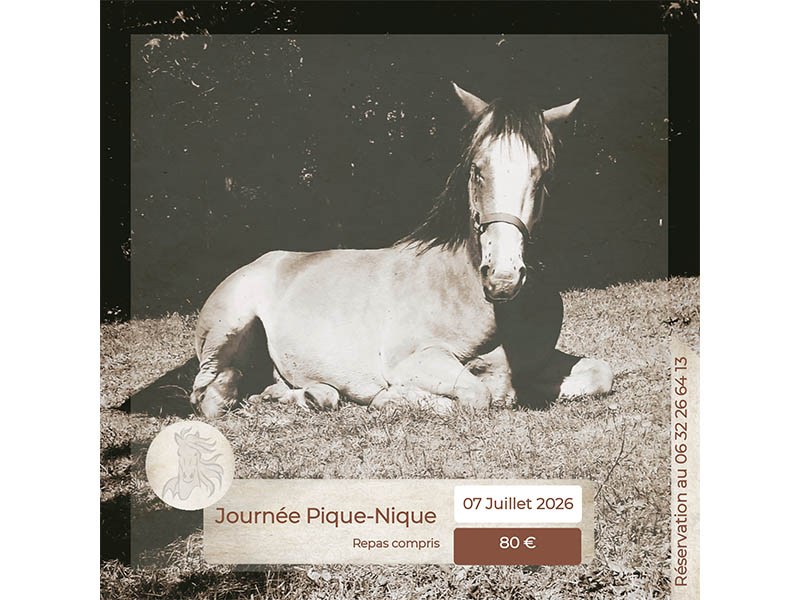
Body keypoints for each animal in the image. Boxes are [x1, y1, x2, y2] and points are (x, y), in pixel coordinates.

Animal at [189, 83, 612, 418]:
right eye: (477, 169)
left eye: (541, 174)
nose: (503, 278)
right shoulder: (414, 361)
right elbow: (477, 394)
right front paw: (390, 399)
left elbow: (601, 374)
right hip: (228, 328)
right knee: (210, 393)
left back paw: (313, 396)